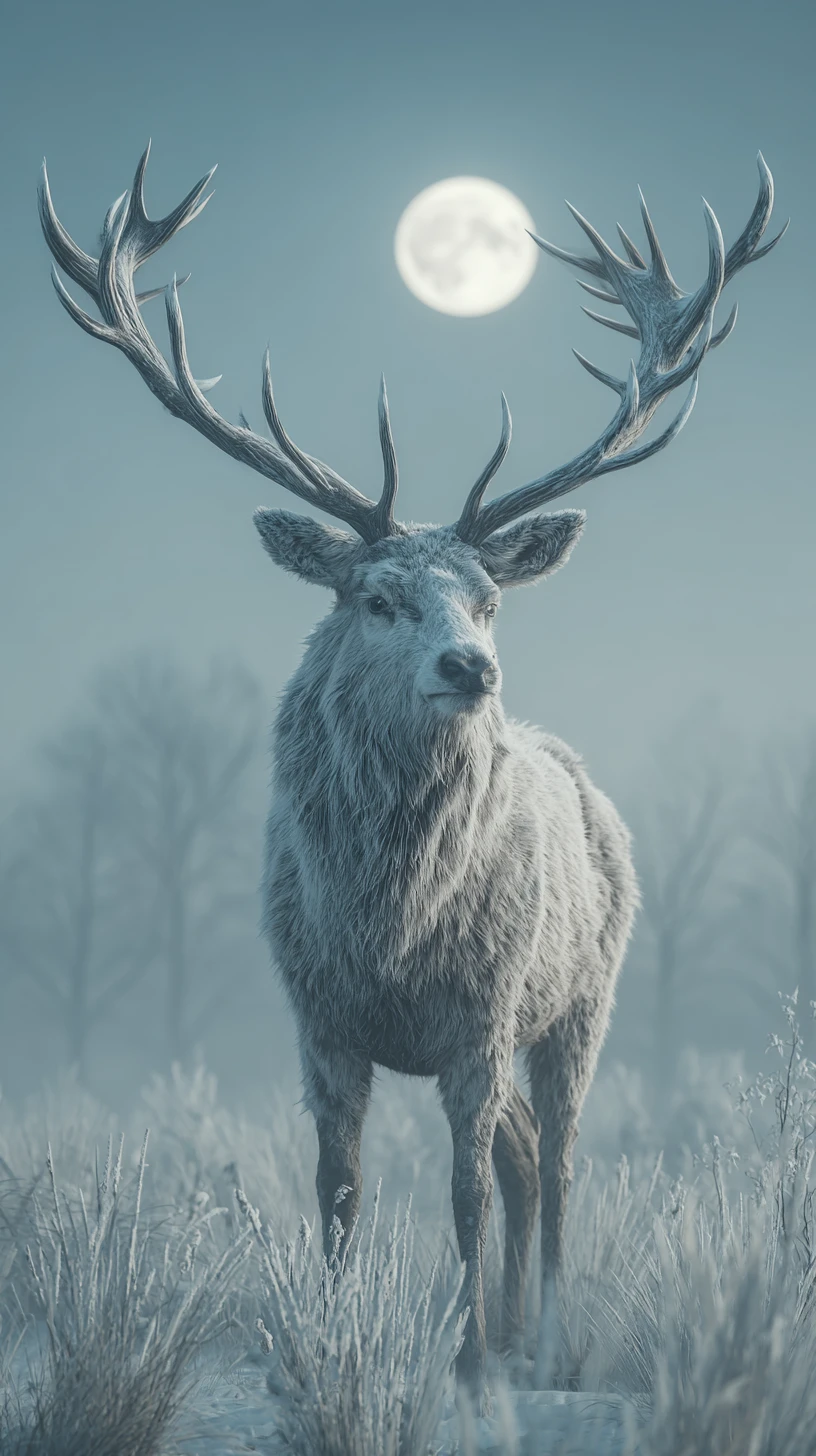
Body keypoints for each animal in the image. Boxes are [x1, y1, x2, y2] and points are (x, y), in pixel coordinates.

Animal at [39, 146, 784, 1401]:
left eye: (488, 599)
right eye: (377, 596)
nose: (471, 665)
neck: (388, 927)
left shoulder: (478, 1017)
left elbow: (465, 1191)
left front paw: (470, 1354)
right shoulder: (320, 1018)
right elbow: (338, 1192)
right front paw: (337, 1341)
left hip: (585, 996)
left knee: (557, 1162)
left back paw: (545, 1339)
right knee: (529, 1158)